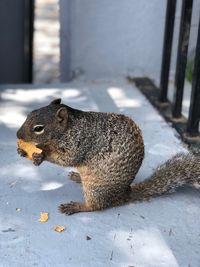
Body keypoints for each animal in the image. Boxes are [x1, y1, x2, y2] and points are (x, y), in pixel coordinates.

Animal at [16, 98, 200, 216]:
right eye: (29, 113)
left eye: (39, 128)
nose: (17, 134)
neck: (70, 127)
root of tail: (124, 195)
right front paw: (23, 151)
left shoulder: (80, 142)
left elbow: (68, 158)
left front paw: (42, 153)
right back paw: (77, 177)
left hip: (95, 188)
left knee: (96, 206)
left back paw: (76, 206)